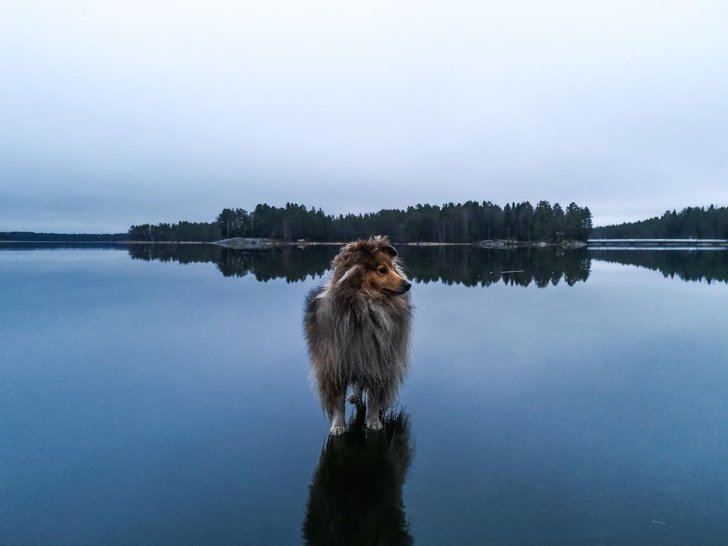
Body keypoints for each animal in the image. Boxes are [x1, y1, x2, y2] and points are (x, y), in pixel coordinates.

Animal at [304, 234, 412, 434]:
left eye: (394, 268)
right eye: (382, 270)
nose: (408, 284)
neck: (366, 304)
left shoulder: (378, 361)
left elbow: (374, 398)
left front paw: (373, 421)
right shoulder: (334, 363)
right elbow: (337, 401)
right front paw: (338, 426)